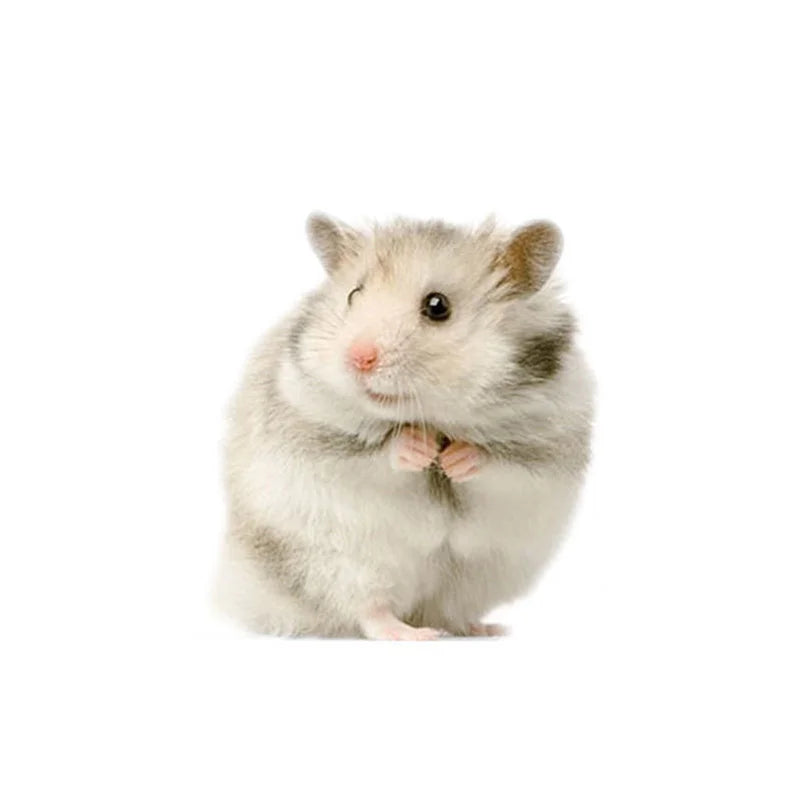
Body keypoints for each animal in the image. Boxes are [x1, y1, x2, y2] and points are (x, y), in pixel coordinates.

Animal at [215, 214, 594, 639]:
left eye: (437, 306)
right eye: (353, 295)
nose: (358, 358)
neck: (434, 416)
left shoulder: (545, 450)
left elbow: (497, 464)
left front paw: (454, 459)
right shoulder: (316, 432)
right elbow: (378, 454)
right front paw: (421, 449)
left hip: (481, 575)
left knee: (448, 611)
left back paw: (484, 628)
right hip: (340, 563)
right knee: (369, 611)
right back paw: (412, 633)